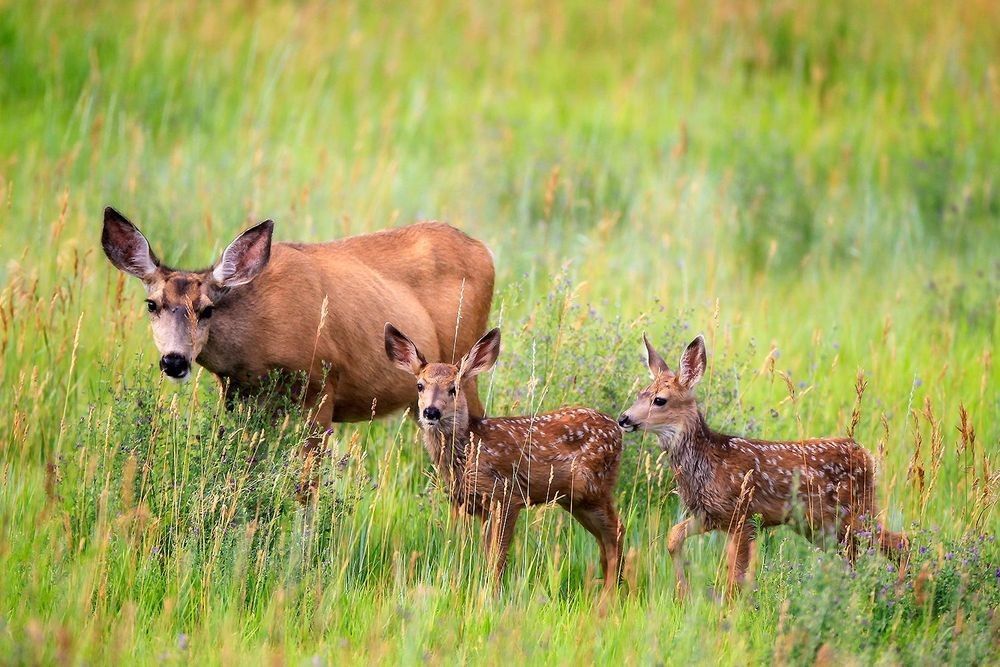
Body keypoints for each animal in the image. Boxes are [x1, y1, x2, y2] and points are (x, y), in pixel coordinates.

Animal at [101, 206, 495, 428]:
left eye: (207, 309)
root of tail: (484, 251)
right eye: (152, 304)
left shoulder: (321, 385)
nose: (174, 360)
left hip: (464, 366)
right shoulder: (240, 397)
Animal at [384, 324, 625, 591]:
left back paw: (611, 592)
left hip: (594, 488)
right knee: (607, 536)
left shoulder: (506, 495)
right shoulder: (477, 506)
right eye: (420, 385)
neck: (466, 453)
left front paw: (492, 593)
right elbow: (487, 553)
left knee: (617, 530)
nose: (431, 411)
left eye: (453, 388)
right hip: (576, 499)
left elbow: (497, 557)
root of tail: (617, 430)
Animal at [618, 334, 908, 599]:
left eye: (660, 400)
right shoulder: (709, 514)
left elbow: (736, 576)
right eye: (640, 394)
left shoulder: (743, 515)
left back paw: (903, 592)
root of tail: (865, 454)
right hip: (821, 526)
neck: (706, 461)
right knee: (855, 557)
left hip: (855, 513)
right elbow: (673, 537)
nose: (623, 418)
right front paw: (683, 592)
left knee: (900, 542)